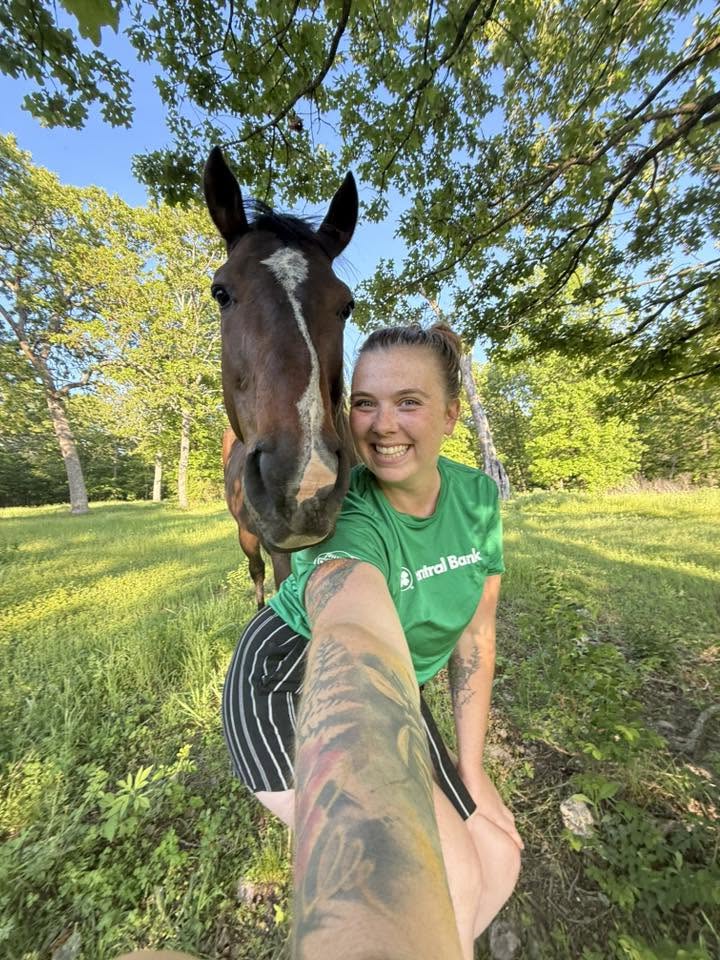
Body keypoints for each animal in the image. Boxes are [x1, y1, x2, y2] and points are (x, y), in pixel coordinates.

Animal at [203, 147, 358, 608]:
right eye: (220, 292)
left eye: (347, 305)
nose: (307, 484)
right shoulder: (280, 553)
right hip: (246, 535)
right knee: (255, 572)